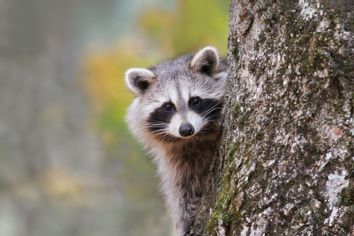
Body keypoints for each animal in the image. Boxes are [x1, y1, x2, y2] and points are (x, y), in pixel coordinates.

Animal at [125, 46, 227, 236]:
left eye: (195, 100)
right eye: (167, 106)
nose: (186, 129)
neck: (195, 139)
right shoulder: (175, 157)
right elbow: (180, 187)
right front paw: (185, 218)